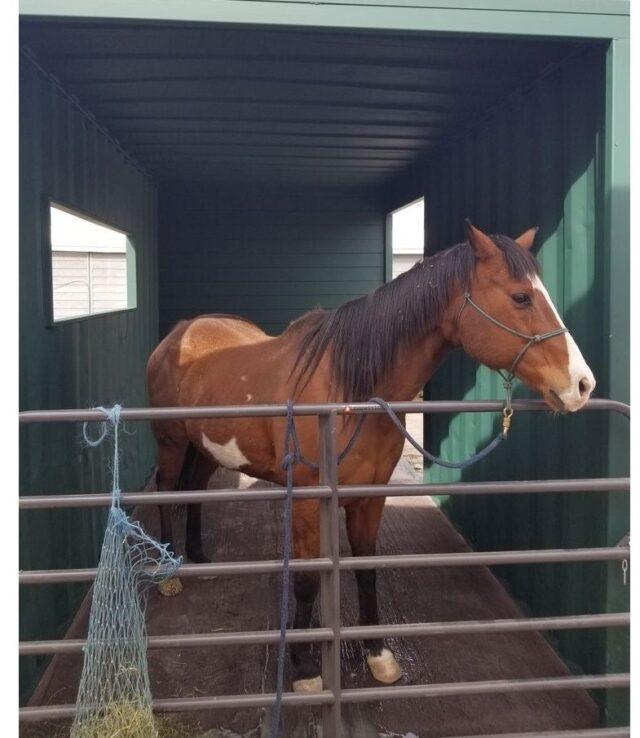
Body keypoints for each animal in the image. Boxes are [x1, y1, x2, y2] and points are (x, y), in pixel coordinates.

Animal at [146, 220, 595, 693]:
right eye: (521, 297)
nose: (582, 385)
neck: (350, 391)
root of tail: (181, 333)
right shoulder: (306, 501)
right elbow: (306, 580)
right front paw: (304, 668)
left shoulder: (370, 498)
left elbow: (367, 569)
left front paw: (378, 654)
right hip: (171, 442)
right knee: (166, 489)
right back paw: (169, 574)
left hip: (206, 447)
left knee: (195, 490)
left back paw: (198, 557)